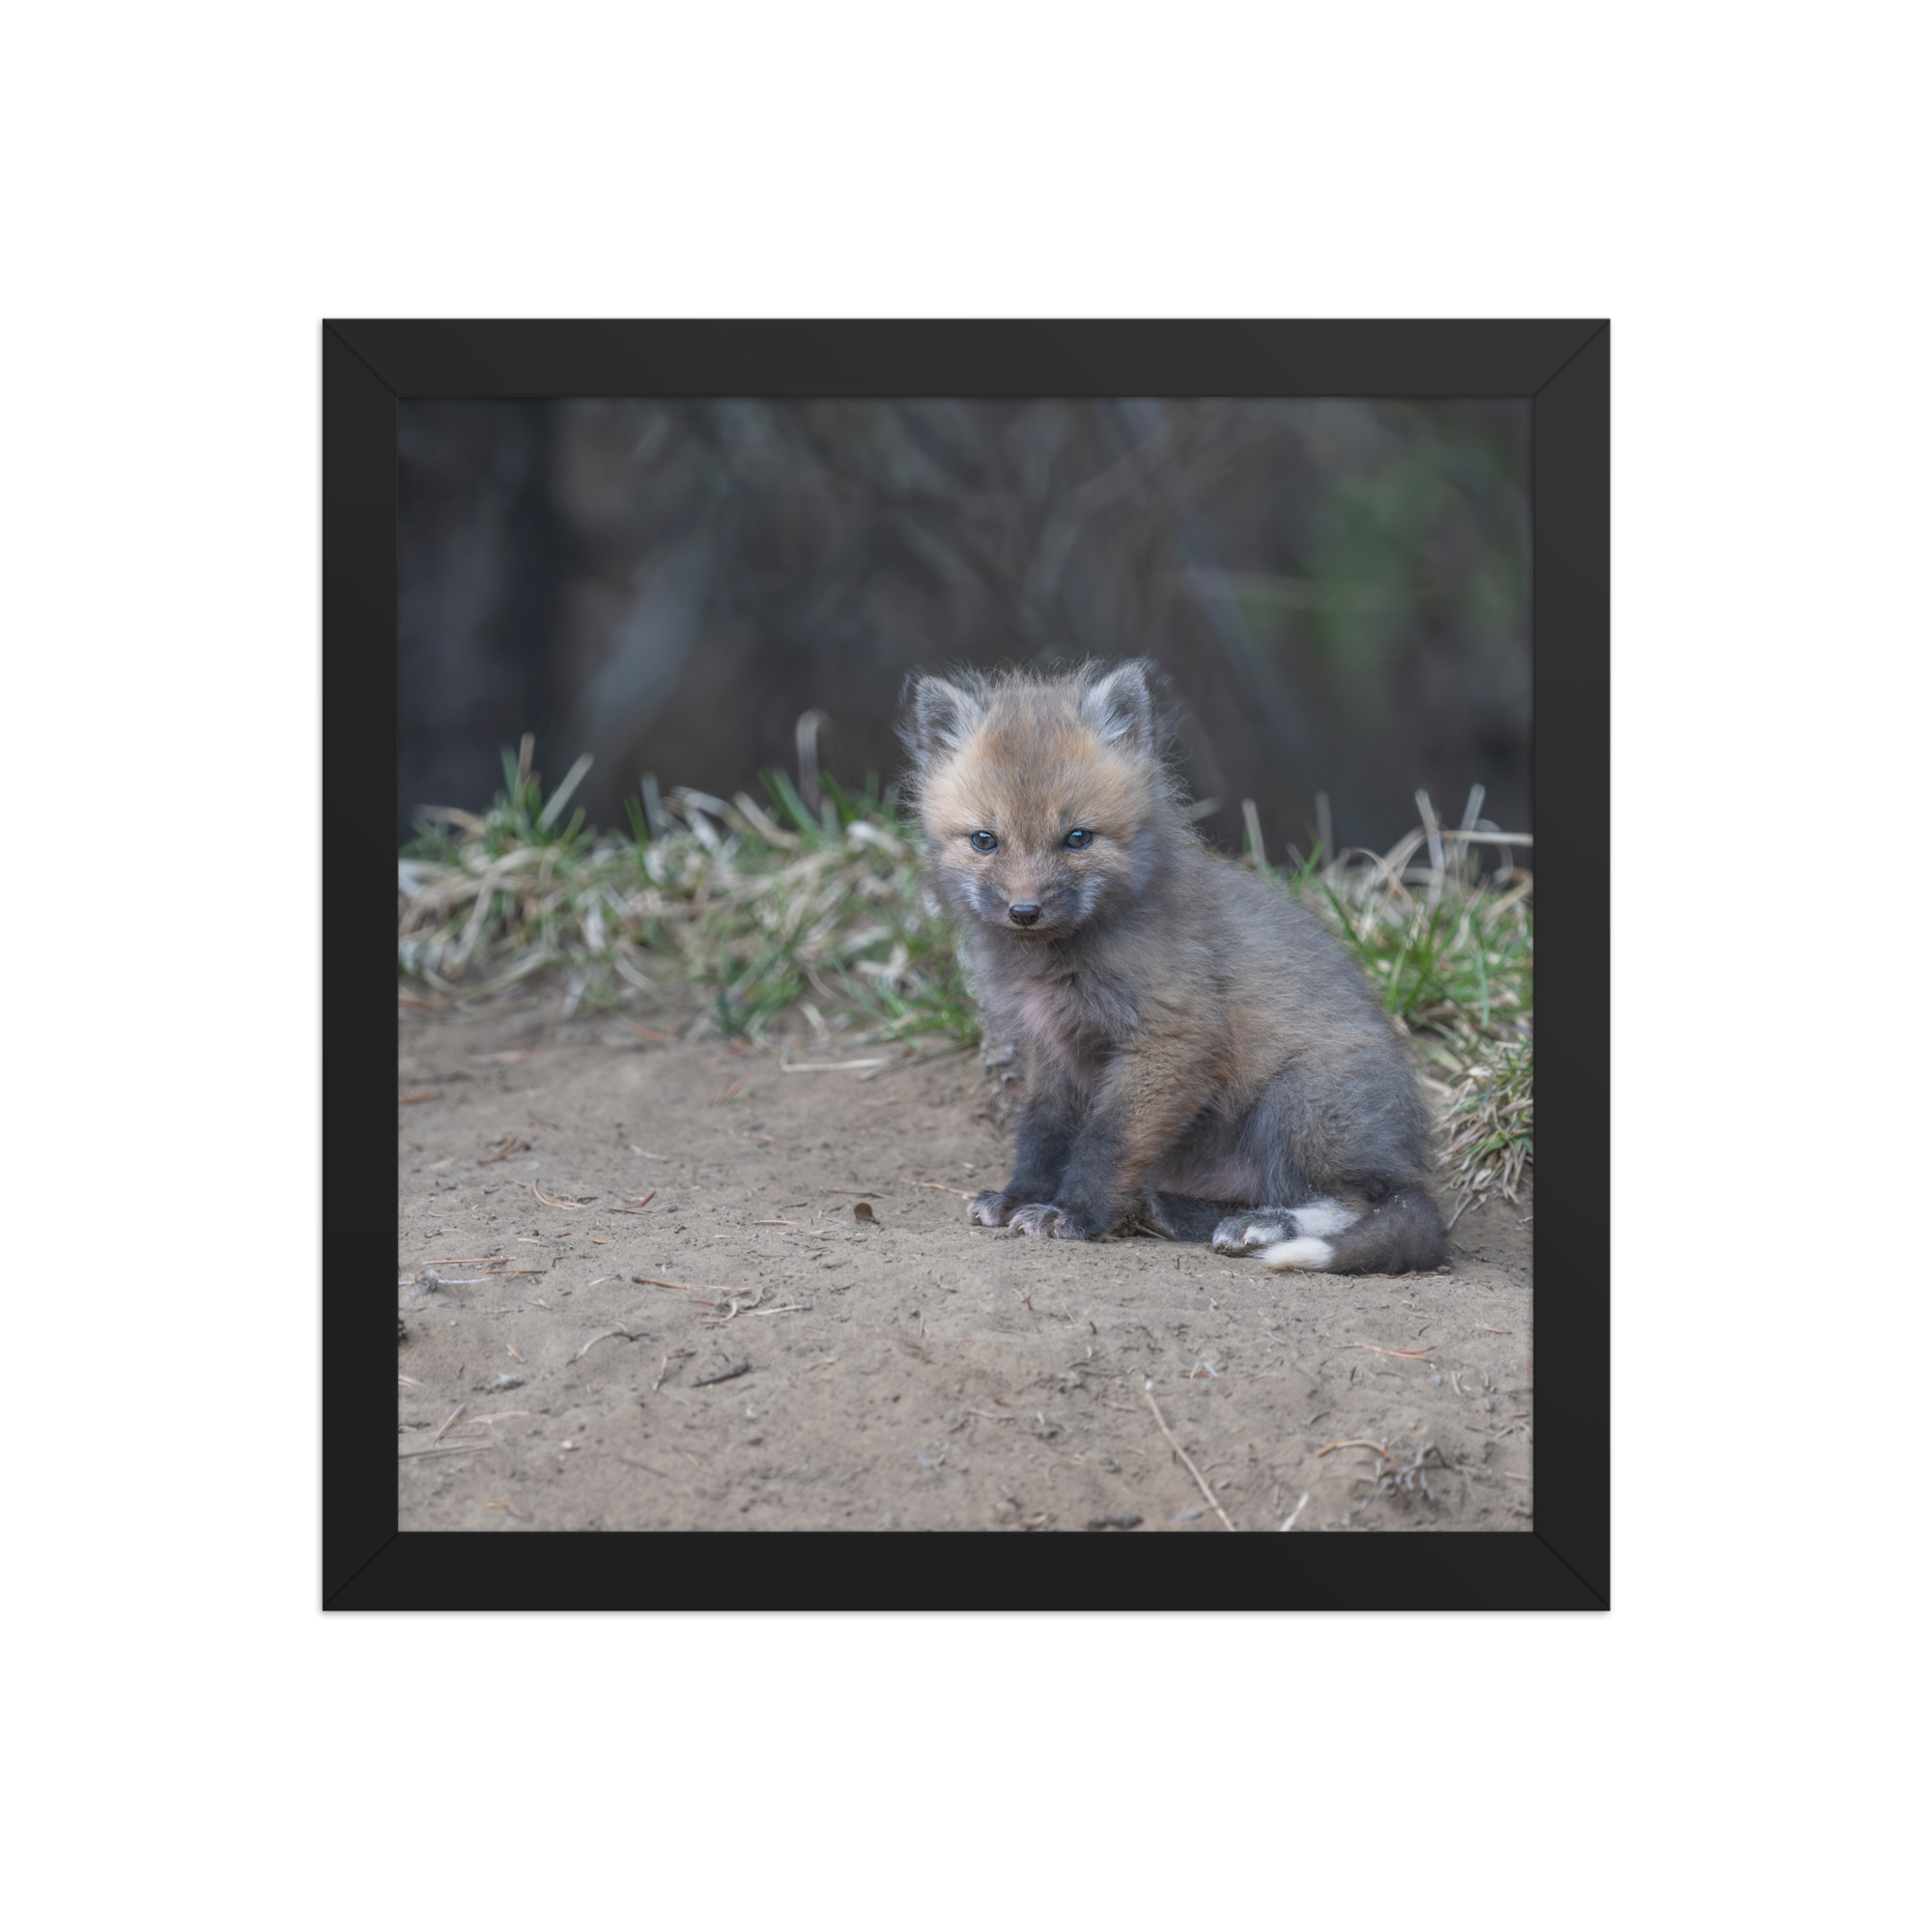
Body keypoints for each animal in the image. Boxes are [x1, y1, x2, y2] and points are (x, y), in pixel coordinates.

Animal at [896, 658, 1446, 1276]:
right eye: (985, 840)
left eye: (1077, 838)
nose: (1025, 911)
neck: (1057, 964)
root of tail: (1409, 1159)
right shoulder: (1053, 1050)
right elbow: (1042, 1134)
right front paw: (1020, 1197)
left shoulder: (1171, 1038)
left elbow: (1105, 1141)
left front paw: (1074, 1214)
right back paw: (1177, 1211)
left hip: (1298, 1102)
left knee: (1362, 1201)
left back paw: (1263, 1225)